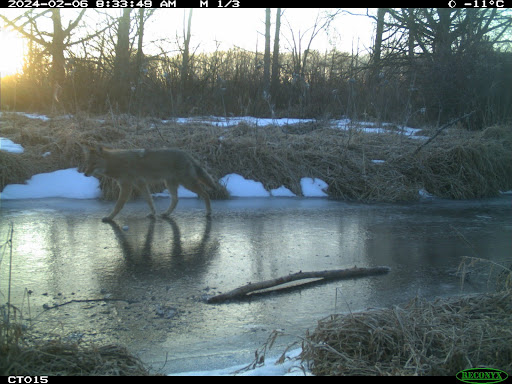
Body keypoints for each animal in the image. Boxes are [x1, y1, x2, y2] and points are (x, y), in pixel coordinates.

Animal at [84, 146, 216, 220]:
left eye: (93, 164)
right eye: (87, 163)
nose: (84, 174)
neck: (117, 163)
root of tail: (187, 154)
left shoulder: (126, 186)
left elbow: (118, 205)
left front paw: (109, 217)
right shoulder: (141, 184)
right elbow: (149, 200)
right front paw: (153, 214)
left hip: (187, 183)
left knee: (206, 194)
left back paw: (209, 212)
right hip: (170, 184)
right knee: (176, 200)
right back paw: (166, 214)